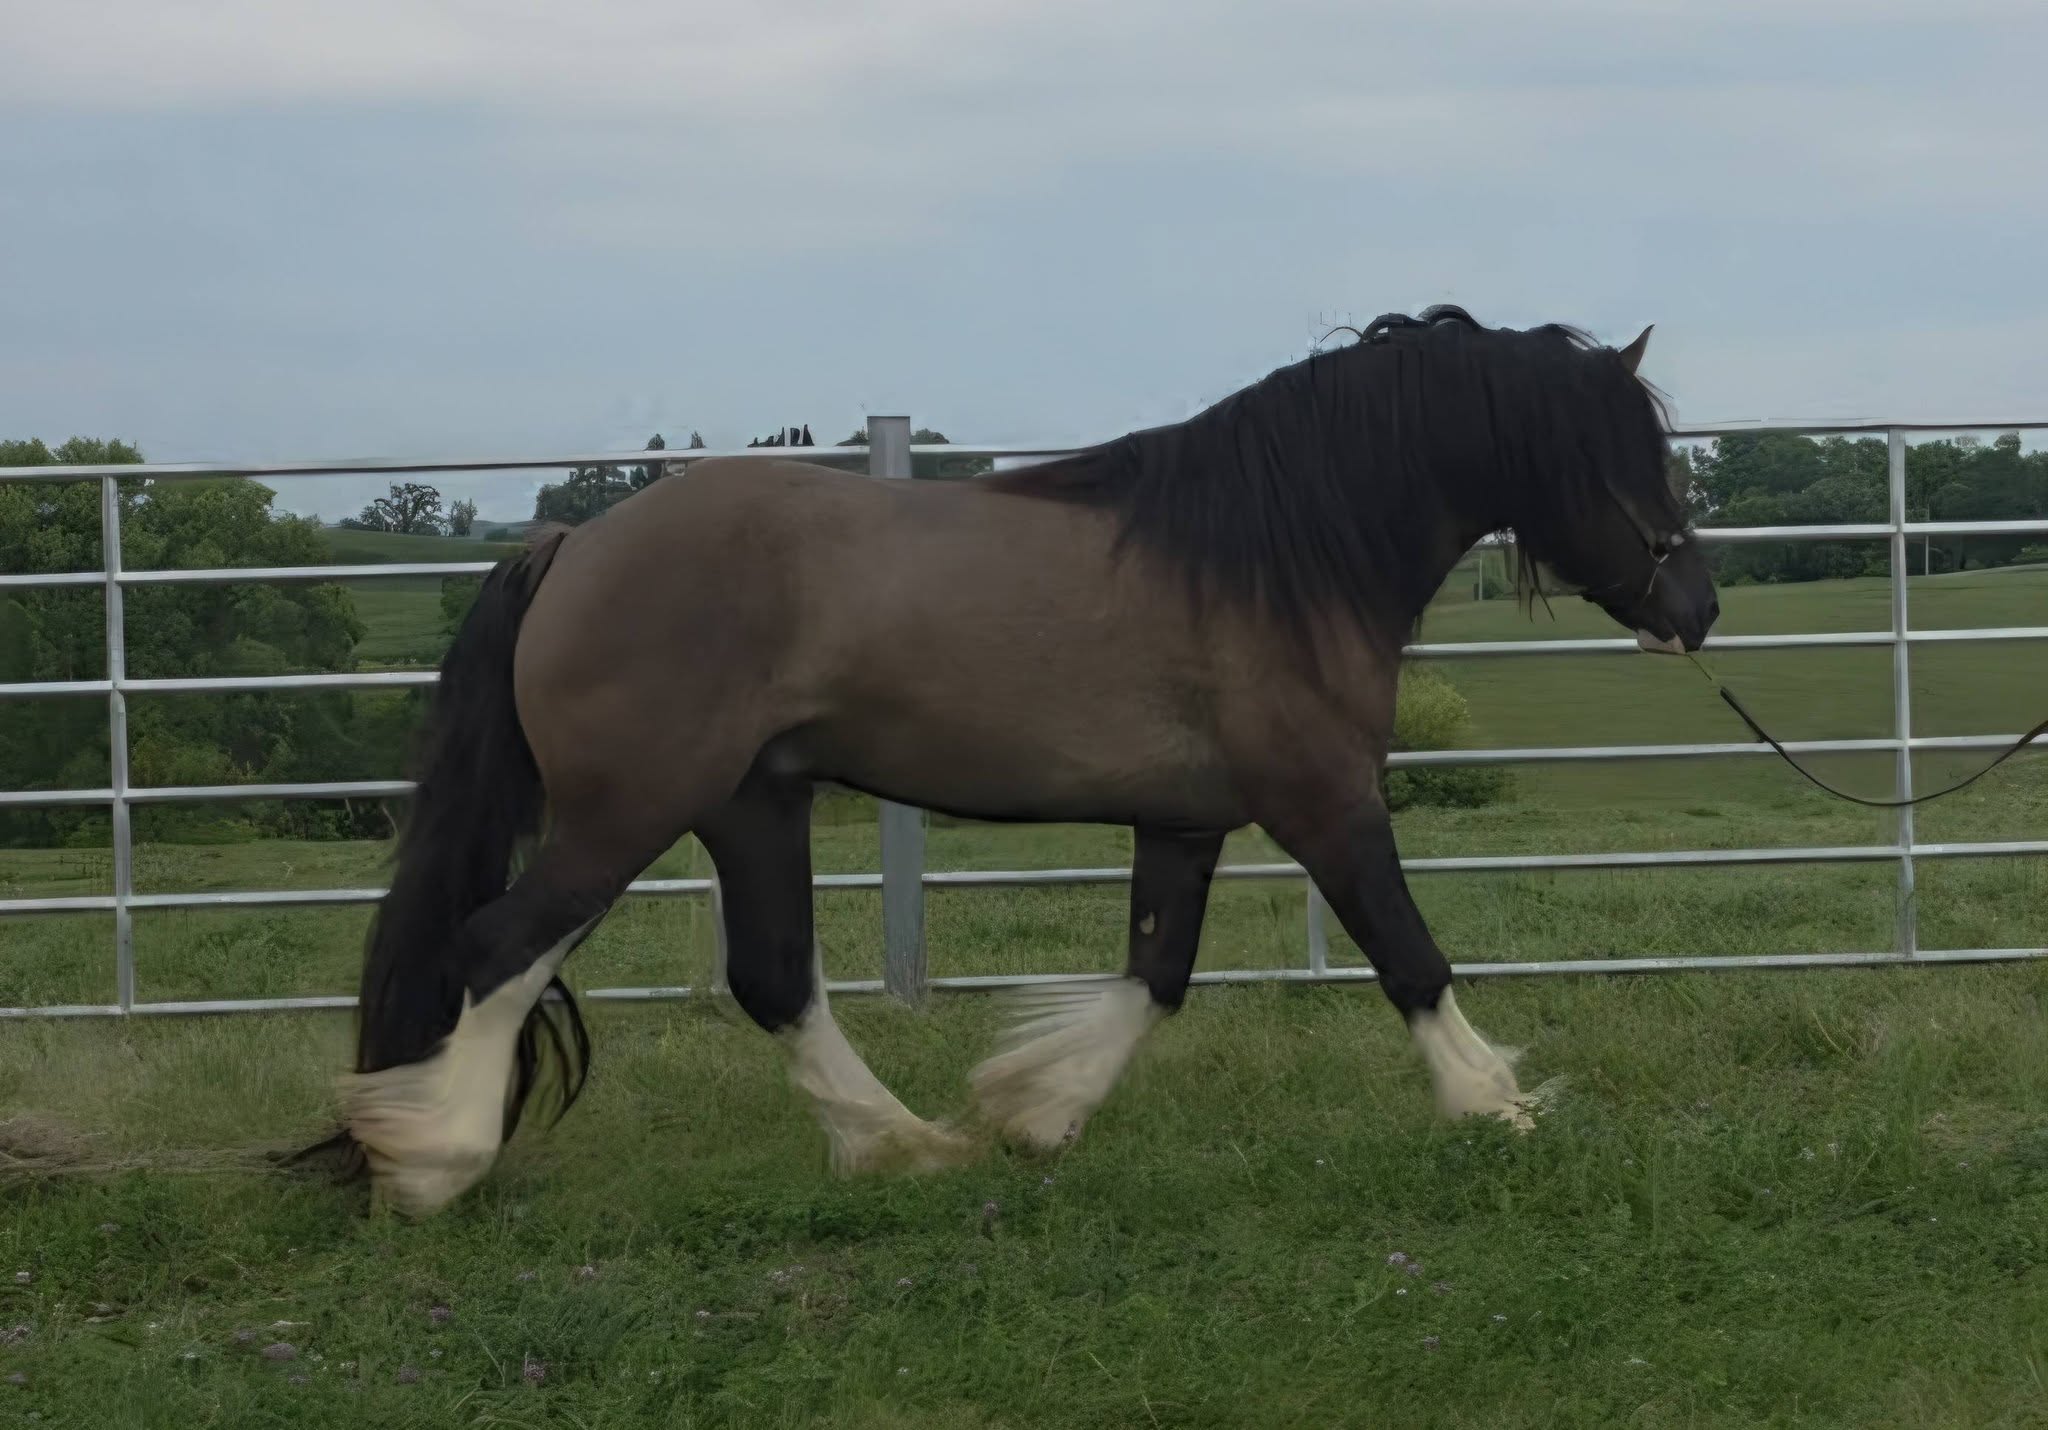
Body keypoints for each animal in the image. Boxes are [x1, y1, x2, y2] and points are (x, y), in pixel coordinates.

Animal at [310, 306, 1719, 1217]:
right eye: (1623, 458)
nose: (1694, 606)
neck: (1270, 556)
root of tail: (569, 546)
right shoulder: (1322, 800)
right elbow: (1408, 955)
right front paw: (1496, 1106)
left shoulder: (1186, 819)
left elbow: (1155, 975)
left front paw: (1033, 1108)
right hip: (630, 808)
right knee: (499, 947)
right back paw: (433, 1161)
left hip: (749, 804)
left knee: (772, 978)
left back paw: (905, 1145)